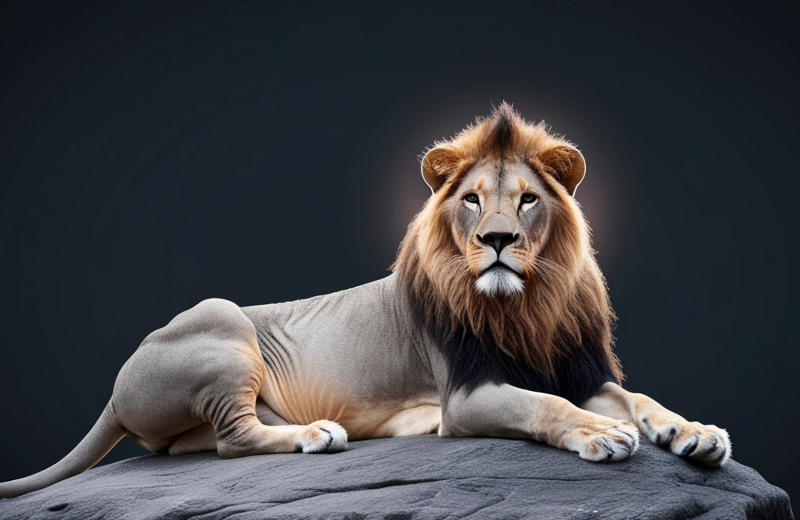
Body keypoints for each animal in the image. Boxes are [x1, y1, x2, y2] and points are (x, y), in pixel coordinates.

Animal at [0, 103, 731, 499]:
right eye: (473, 199)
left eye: (527, 199)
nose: (497, 239)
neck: (529, 305)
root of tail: (118, 386)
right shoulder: (466, 396)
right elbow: (543, 406)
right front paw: (602, 435)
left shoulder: (580, 370)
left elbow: (640, 399)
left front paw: (693, 431)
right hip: (222, 321)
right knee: (234, 442)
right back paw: (316, 436)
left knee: (189, 449)